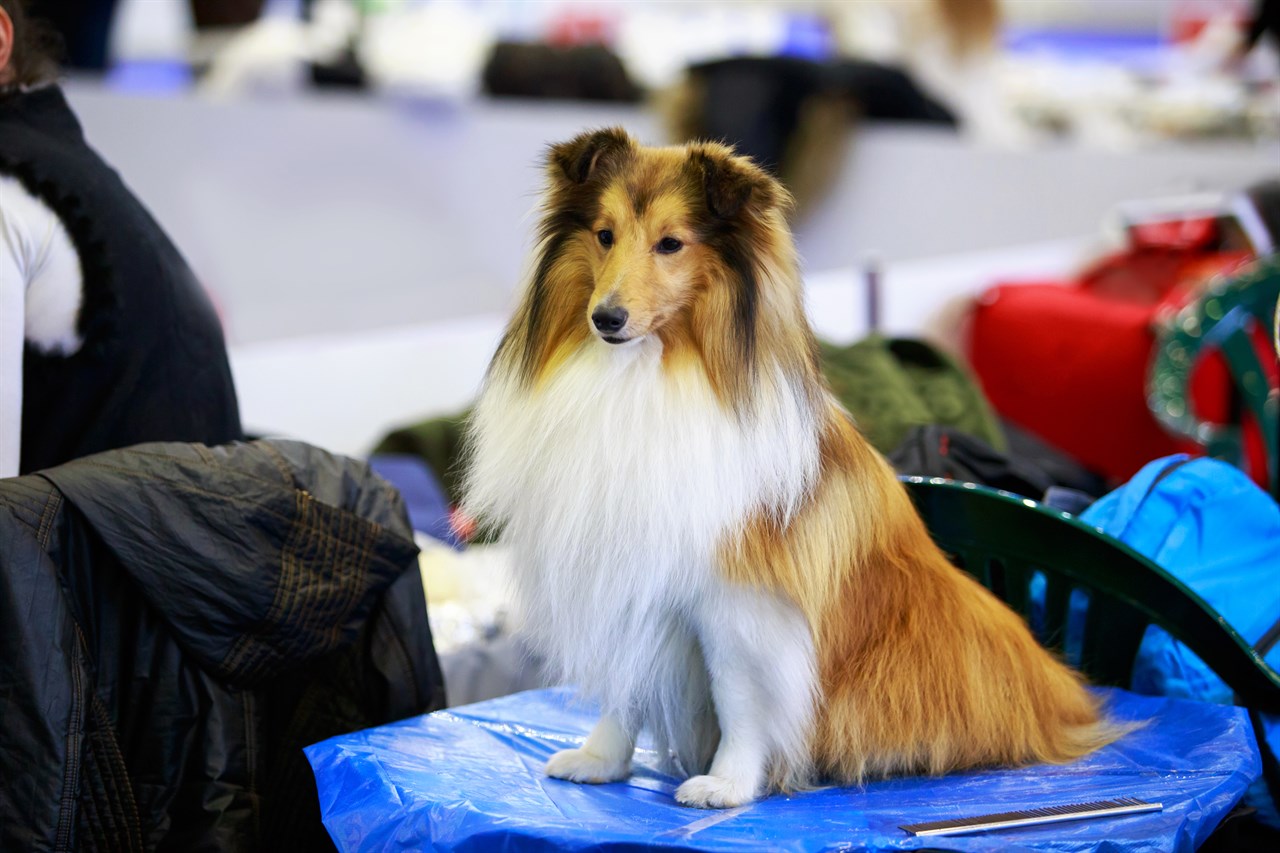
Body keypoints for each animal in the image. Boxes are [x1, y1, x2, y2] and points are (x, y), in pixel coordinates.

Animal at [460, 129, 1121, 809]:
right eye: (604, 234)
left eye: (671, 243)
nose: (606, 319)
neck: (646, 374)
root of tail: (1062, 699)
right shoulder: (632, 576)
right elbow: (628, 683)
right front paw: (601, 760)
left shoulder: (741, 601)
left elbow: (740, 696)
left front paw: (727, 784)